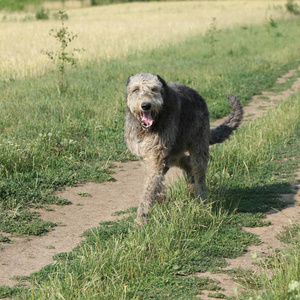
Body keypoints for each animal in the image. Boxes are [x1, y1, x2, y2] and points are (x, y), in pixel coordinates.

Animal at [124, 72, 244, 225]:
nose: (146, 105)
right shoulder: (147, 157)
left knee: (198, 171)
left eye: (154, 89)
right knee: (186, 162)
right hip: (175, 151)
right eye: (136, 89)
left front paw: (141, 218)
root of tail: (198, 94)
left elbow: (150, 186)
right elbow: (154, 183)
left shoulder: (157, 157)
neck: (146, 129)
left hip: (198, 144)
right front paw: (162, 201)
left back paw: (200, 198)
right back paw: (190, 186)